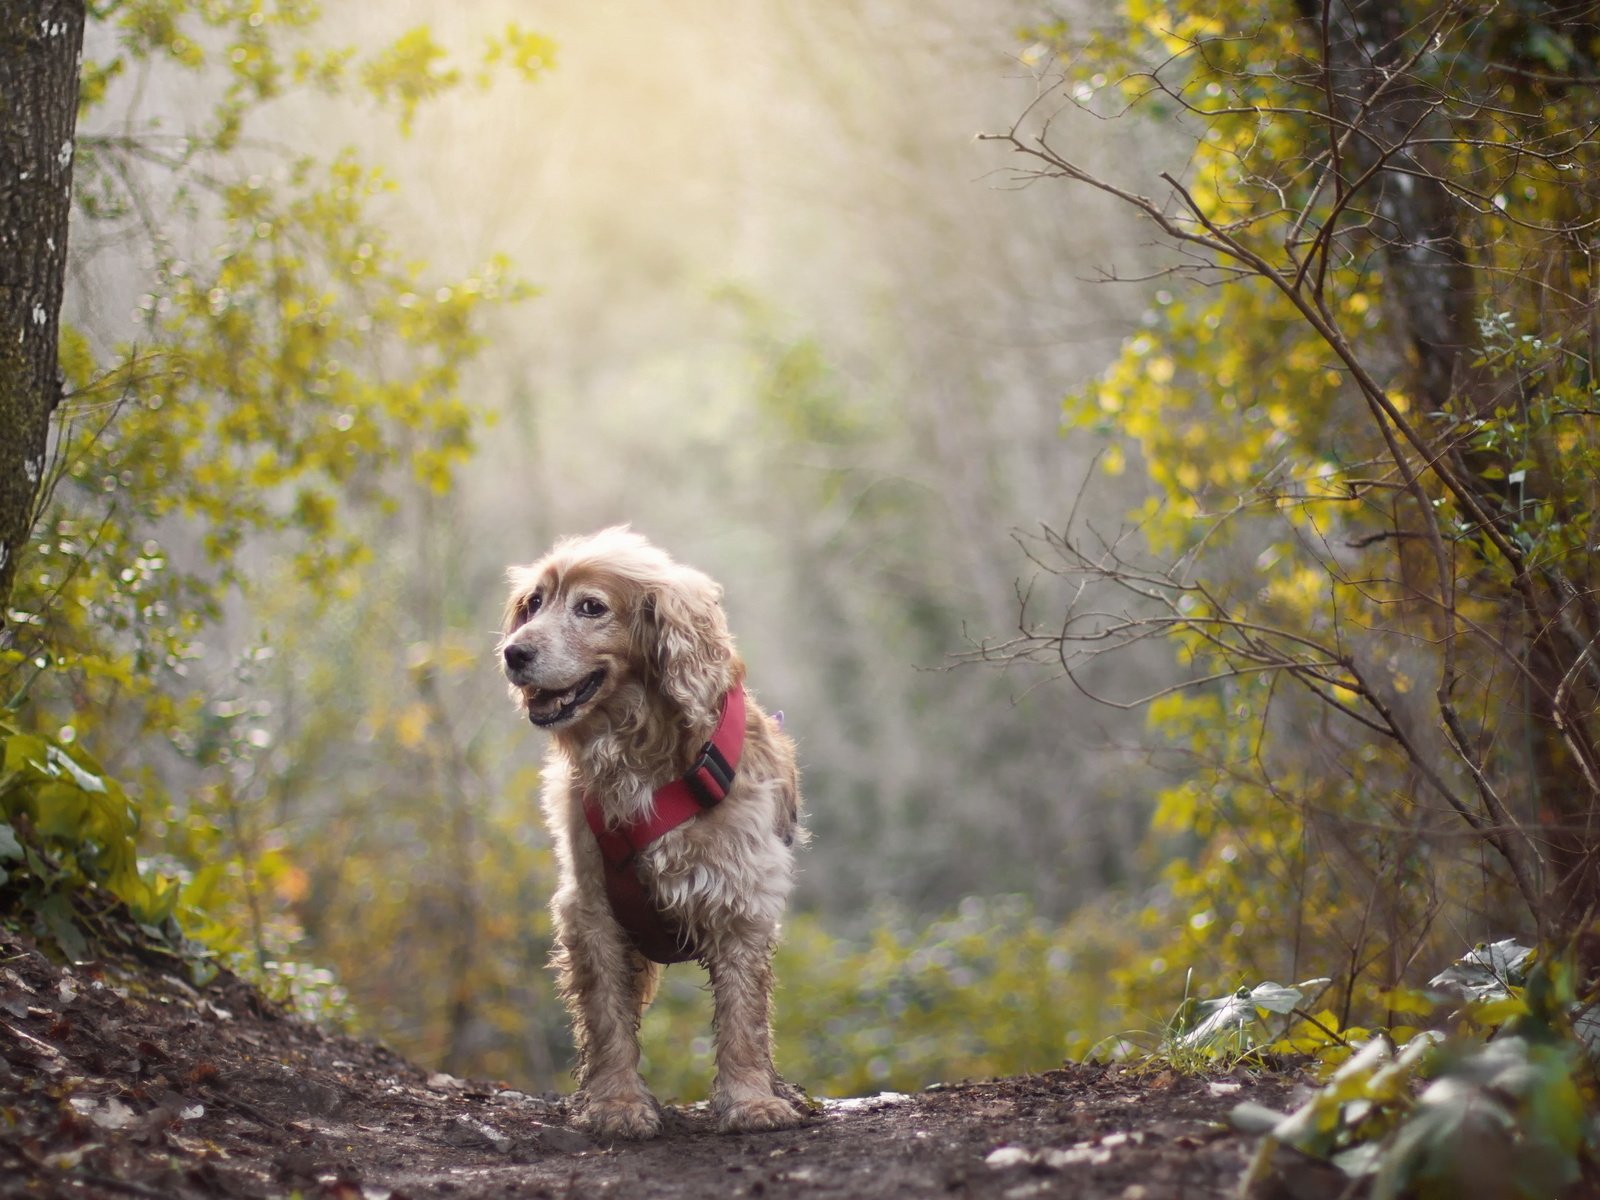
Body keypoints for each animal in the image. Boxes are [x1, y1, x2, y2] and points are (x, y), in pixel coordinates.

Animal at [499, 531, 806, 1139]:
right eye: (534, 603)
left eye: (591, 607)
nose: (512, 653)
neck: (638, 751)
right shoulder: (591, 906)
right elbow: (607, 1019)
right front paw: (616, 1104)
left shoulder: (741, 897)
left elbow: (743, 1017)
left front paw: (751, 1101)